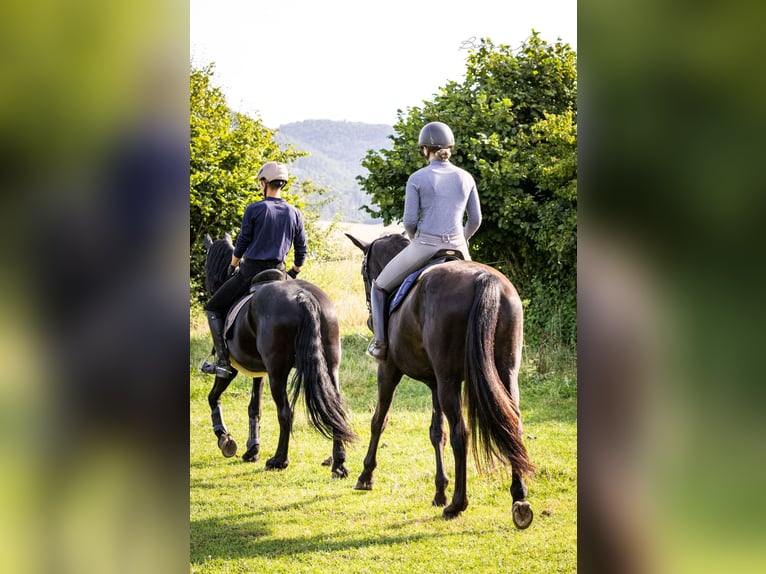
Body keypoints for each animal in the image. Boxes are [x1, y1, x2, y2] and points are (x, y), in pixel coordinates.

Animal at [200, 236, 356, 480]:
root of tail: (302, 297)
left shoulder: (231, 368)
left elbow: (213, 397)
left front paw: (225, 438)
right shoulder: (259, 372)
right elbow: (254, 408)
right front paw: (252, 450)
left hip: (277, 372)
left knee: (285, 412)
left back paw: (279, 460)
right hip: (330, 367)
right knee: (336, 407)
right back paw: (339, 464)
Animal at [346, 232, 536, 528]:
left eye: (364, 273)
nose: (369, 319)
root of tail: (484, 279)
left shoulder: (389, 370)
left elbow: (379, 420)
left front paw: (366, 476)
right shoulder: (435, 382)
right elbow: (437, 432)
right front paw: (439, 490)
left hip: (448, 381)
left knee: (461, 433)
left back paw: (458, 504)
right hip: (504, 374)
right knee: (511, 424)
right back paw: (519, 498)